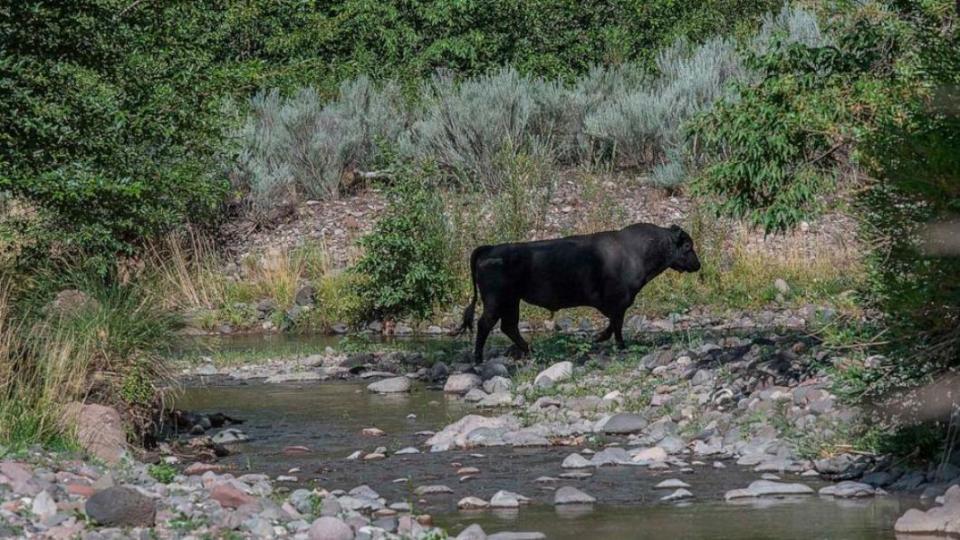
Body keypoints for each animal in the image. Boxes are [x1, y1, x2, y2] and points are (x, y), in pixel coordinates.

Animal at [454, 224, 700, 362]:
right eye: (688, 247)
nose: (697, 265)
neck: (637, 250)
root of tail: (489, 249)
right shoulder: (620, 301)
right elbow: (617, 324)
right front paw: (617, 344)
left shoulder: (618, 304)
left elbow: (614, 323)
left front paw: (599, 337)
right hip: (496, 302)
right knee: (486, 324)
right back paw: (479, 358)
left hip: (512, 302)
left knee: (509, 326)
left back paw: (530, 349)